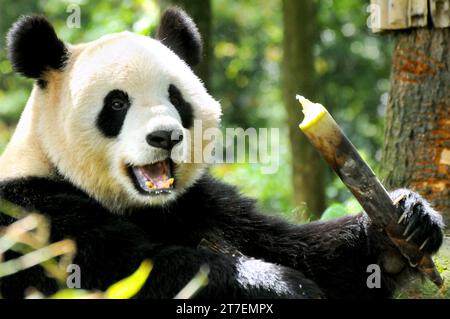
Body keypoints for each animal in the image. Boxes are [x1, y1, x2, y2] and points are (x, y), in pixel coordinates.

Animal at [0, 8, 442, 300]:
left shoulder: (204, 204)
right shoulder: (32, 212)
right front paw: (279, 285)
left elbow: (306, 253)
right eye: (117, 104)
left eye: (175, 98)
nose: (165, 137)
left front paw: (406, 224)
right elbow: (118, 273)